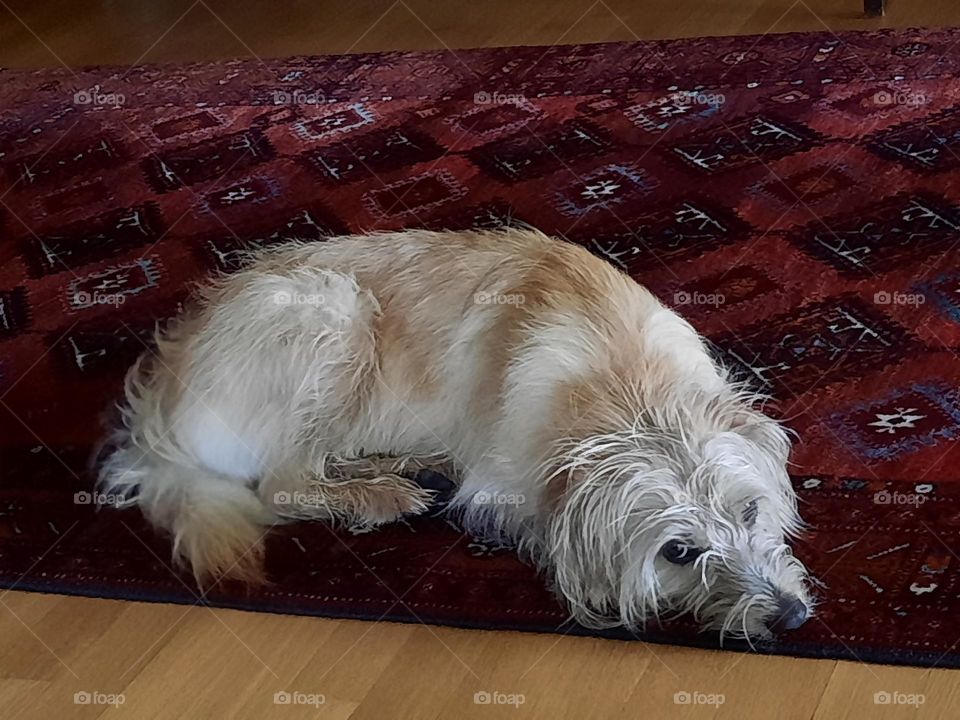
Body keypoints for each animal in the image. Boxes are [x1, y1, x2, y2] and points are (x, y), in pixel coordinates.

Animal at [97, 228, 812, 640]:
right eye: (678, 554)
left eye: (751, 511)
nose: (792, 616)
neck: (628, 390)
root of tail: (156, 413)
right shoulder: (503, 487)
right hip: (334, 311)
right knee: (282, 484)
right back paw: (377, 493)